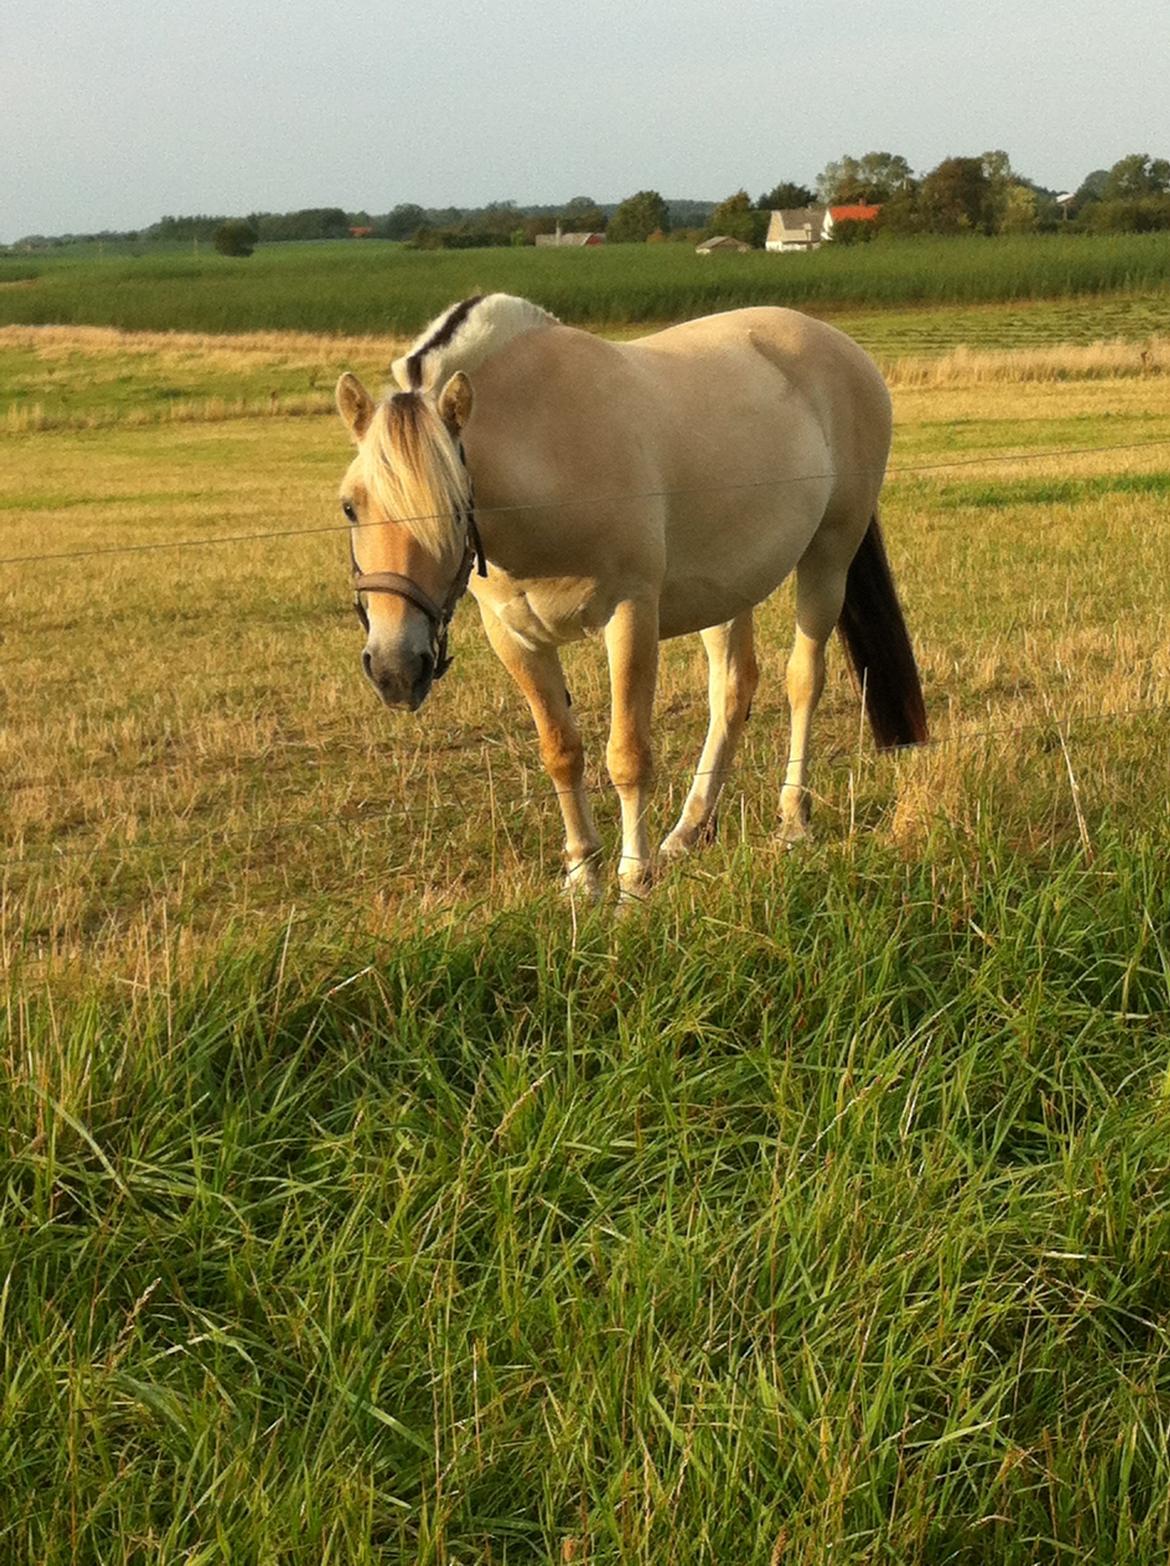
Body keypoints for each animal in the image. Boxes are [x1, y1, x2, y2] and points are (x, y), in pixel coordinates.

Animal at [333, 294, 927, 902]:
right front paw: (582, 877)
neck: (547, 442)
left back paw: (791, 822)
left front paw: (633, 882)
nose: (395, 669)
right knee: (732, 691)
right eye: (350, 506)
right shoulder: (515, 637)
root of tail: (844, 349)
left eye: (454, 507)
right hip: (727, 588)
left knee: (803, 680)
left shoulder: (630, 615)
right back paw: (689, 831)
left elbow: (628, 755)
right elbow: (561, 752)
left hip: (829, 556)